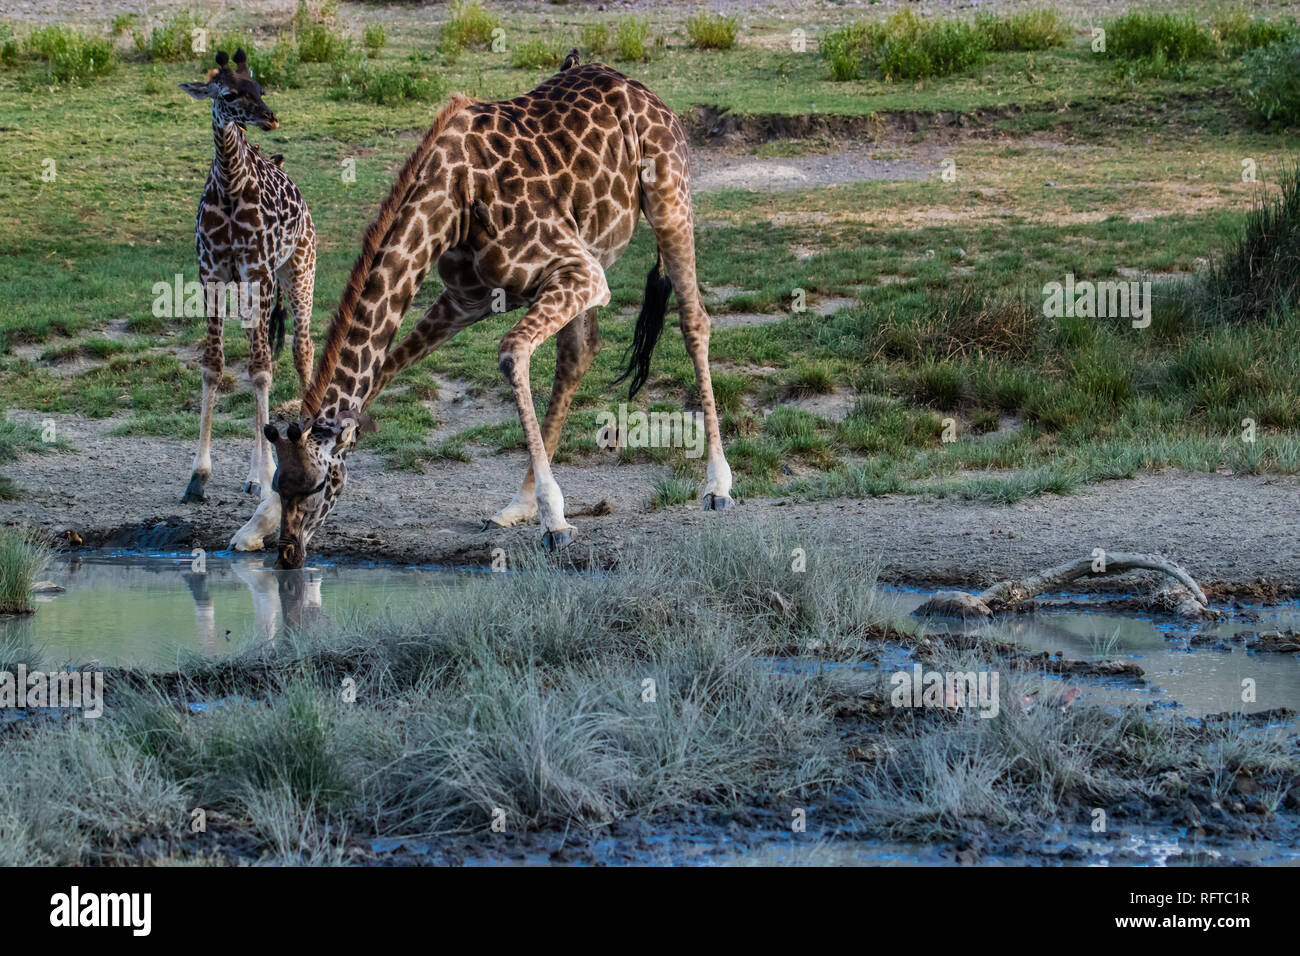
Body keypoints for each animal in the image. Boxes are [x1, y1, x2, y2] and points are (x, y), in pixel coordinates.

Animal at [261, 65, 733, 567]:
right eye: (279, 484)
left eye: (316, 486)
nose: (288, 555)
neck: (452, 201)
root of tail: (640, 89)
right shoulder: (467, 299)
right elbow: (385, 369)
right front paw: (255, 525)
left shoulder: (582, 272)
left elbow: (511, 352)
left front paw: (556, 522)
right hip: (593, 245)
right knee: (579, 352)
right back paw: (516, 506)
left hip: (668, 200)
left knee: (693, 320)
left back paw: (718, 484)